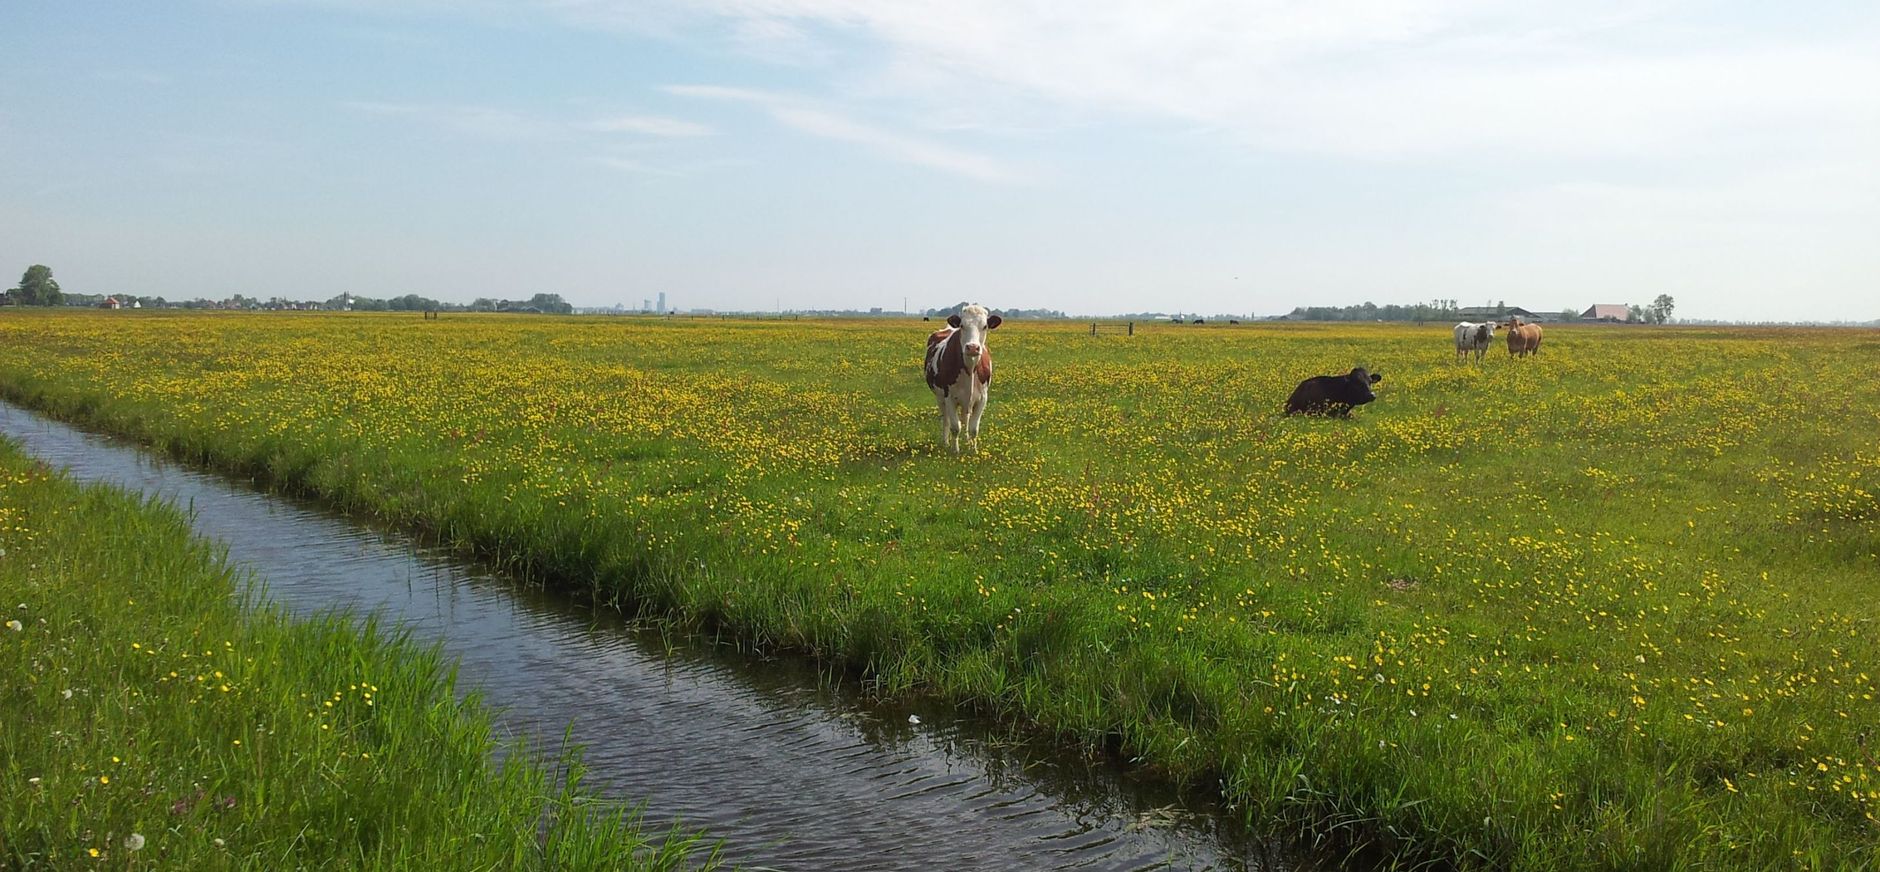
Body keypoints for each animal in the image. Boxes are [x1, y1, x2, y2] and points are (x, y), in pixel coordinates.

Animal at [925, 304, 1003, 454]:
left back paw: (966, 441)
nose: (972, 347)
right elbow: (955, 427)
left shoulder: (982, 398)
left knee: (965, 419)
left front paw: (973, 450)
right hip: (940, 397)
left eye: (985, 326)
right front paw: (955, 450)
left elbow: (973, 428)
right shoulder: (949, 397)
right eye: (962, 325)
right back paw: (946, 442)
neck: (970, 369)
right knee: (946, 419)